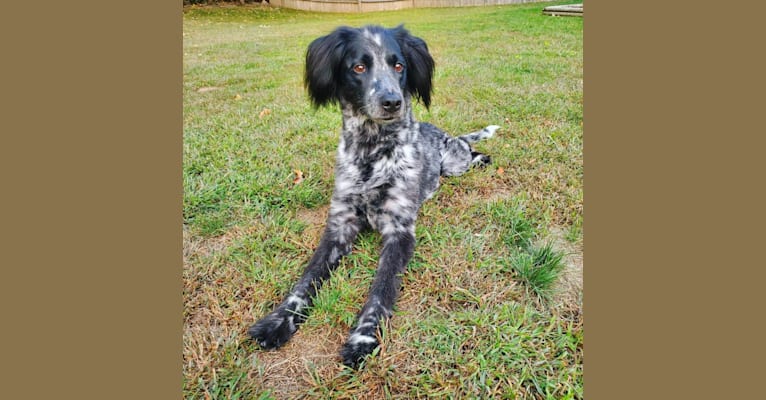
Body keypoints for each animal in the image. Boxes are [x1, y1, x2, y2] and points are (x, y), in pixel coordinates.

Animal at [249, 25, 500, 368]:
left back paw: (481, 156)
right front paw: (277, 322)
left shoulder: (400, 231)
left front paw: (363, 338)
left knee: (468, 149)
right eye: (358, 67)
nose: (392, 102)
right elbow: (306, 279)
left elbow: (382, 287)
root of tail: (447, 134)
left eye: (399, 65)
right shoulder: (339, 226)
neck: (372, 150)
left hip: (454, 163)